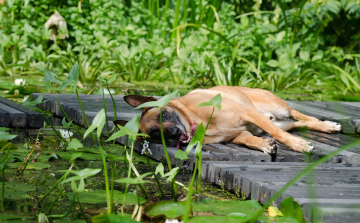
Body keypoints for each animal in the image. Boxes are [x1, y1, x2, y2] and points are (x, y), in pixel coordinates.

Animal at [123, 86, 340, 154]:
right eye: (154, 134)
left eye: (163, 115)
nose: (173, 134)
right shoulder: (236, 134)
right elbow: (248, 139)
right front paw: (264, 145)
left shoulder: (248, 113)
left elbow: (278, 134)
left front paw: (299, 145)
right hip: (281, 120)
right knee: (297, 123)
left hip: (279, 108)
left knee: (298, 114)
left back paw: (327, 125)